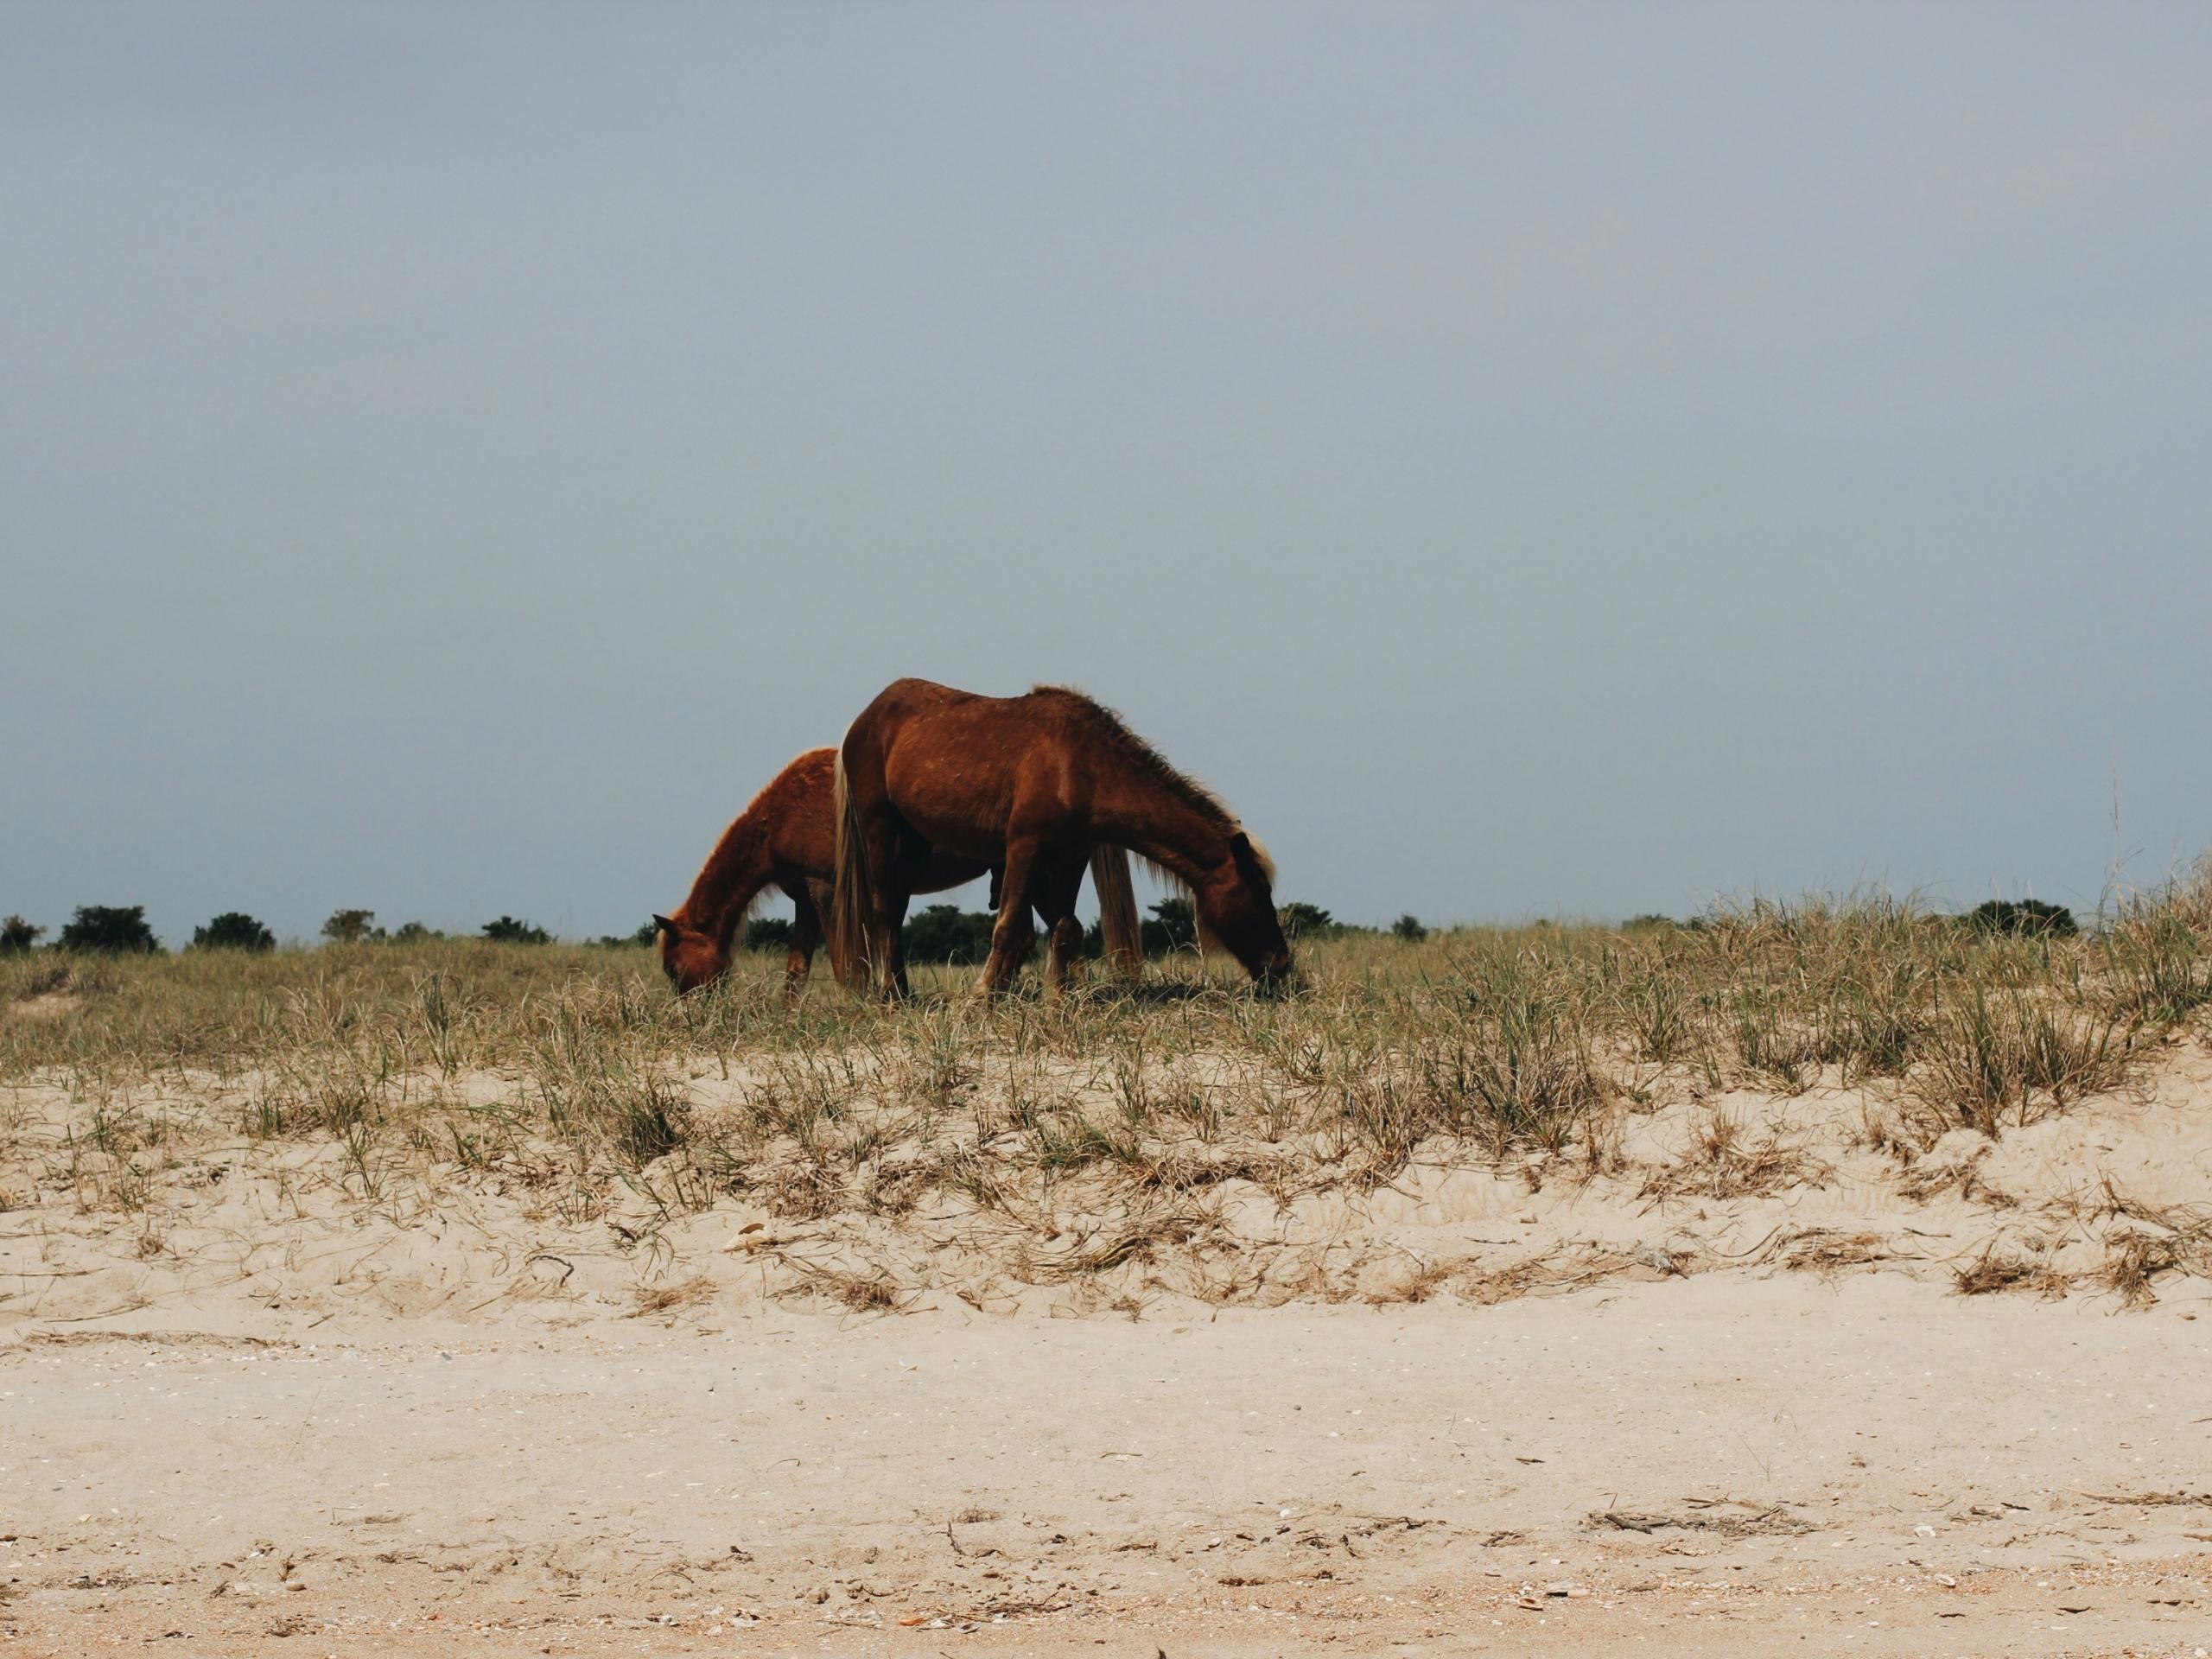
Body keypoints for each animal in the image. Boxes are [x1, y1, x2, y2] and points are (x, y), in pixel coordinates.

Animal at [655, 748, 1140, 997]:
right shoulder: (807, 900)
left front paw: (856, 1001)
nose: (692, 1012)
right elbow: (798, 966)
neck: (780, 818)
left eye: (672, 967)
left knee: (1052, 931)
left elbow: (842, 957)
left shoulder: (827, 892)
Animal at [831, 679, 1292, 999]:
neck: (1080, 765)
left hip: (914, 845)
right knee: (886, 911)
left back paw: (904, 991)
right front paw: (982, 996)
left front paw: (1059, 997)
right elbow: (1008, 927)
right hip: (881, 831)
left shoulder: (1071, 856)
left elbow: (1066, 926)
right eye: (1258, 893)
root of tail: (864, 719)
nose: (1284, 964)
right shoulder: (1023, 847)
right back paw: (892, 996)